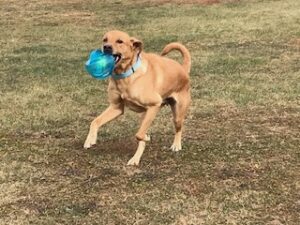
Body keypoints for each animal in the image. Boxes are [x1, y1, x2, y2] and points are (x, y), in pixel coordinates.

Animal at [84, 30, 192, 165]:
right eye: (105, 39)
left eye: (120, 41)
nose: (106, 47)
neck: (126, 75)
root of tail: (183, 69)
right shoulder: (116, 107)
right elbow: (95, 121)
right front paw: (90, 140)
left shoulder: (154, 105)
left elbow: (140, 135)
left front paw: (147, 137)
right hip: (145, 115)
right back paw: (135, 159)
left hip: (176, 113)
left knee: (177, 128)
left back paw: (176, 145)